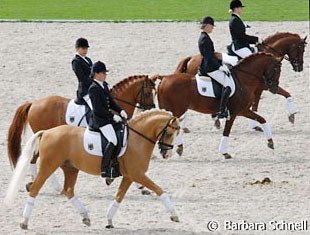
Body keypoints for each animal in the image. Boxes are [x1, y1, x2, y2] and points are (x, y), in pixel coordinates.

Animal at [4, 109, 180, 229]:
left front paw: (109, 220)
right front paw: (174, 215)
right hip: (49, 166)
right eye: (170, 133)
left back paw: (85, 217)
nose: (167, 153)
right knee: (35, 189)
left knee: (68, 190)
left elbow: (119, 197)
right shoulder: (137, 174)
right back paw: (24, 222)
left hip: (70, 168)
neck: (137, 139)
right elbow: (160, 190)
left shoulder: (130, 176)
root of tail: (47, 132)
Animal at [154, 53, 282, 159]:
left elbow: (262, 119)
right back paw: (176, 148)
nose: (274, 89)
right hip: (177, 110)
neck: (243, 80)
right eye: (277, 70)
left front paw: (270, 142)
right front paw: (224, 153)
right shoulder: (234, 113)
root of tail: (164, 78)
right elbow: (226, 131)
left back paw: (174, 149)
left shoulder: (243, 110)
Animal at [174, 32, 308, 126]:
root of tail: (191, 58)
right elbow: (261, 103)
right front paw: (291, 116)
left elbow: (283, 95)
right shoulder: (262, 87)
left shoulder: (261, 88)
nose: (299, 67)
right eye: (301, 49)